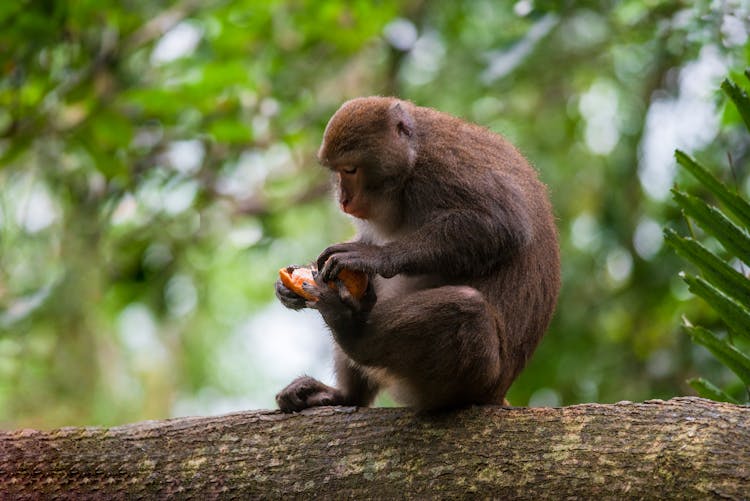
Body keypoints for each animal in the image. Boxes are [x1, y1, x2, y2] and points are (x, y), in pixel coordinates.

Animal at [274, 95, 560, 412]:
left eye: (350, 170)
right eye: (337, 172)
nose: (343, 200)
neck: (411, 162)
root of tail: (495, 393)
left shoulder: (442, 168)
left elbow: (501, 224)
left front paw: (375, 256)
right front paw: (291, 284)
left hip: (479, 376)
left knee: (467, 307)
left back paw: (350, 330)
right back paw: (345, 394)